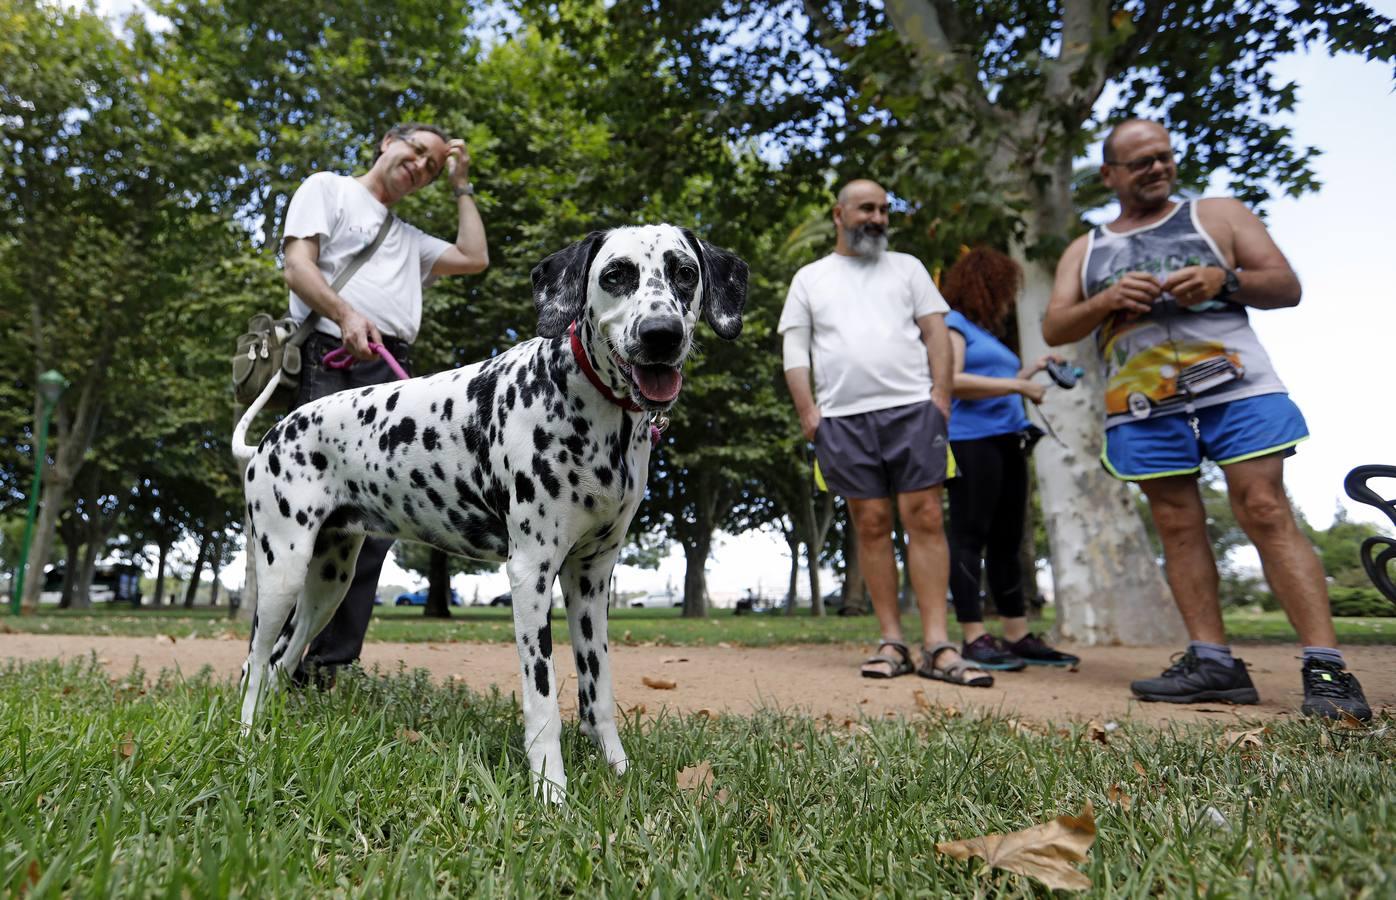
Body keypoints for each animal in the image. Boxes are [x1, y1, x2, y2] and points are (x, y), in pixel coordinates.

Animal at [231, 224, 753, 798]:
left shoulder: (591, 581)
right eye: (616, 274)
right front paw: (551, 790)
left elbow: (599, 693)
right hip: (282, 573)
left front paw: (617, 771)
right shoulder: (531, 574)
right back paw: (248, 739)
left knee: (280, 661)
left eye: (685, 272)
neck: (586, 403)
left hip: (328, 582)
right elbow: (543, 701)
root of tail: (268, 439)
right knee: (254, 663)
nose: (662, 333)